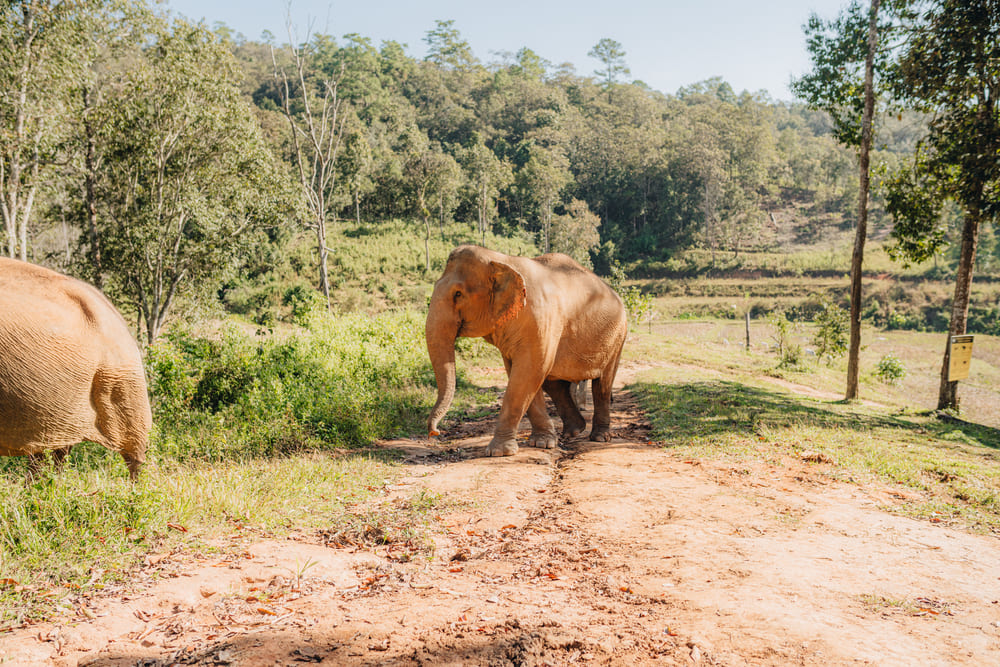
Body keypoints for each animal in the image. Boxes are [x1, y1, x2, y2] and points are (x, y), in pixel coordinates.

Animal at [426, 245, 627, 457]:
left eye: (458, 294)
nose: (434, 432)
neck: (503, 260)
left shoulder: (542, 320)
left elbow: (528, 371)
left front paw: (499, 452)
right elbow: (524, 372)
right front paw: (542, 443)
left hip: (617, 337)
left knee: (602, 384)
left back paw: (599, 437)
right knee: (555, 384)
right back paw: (574, 431)